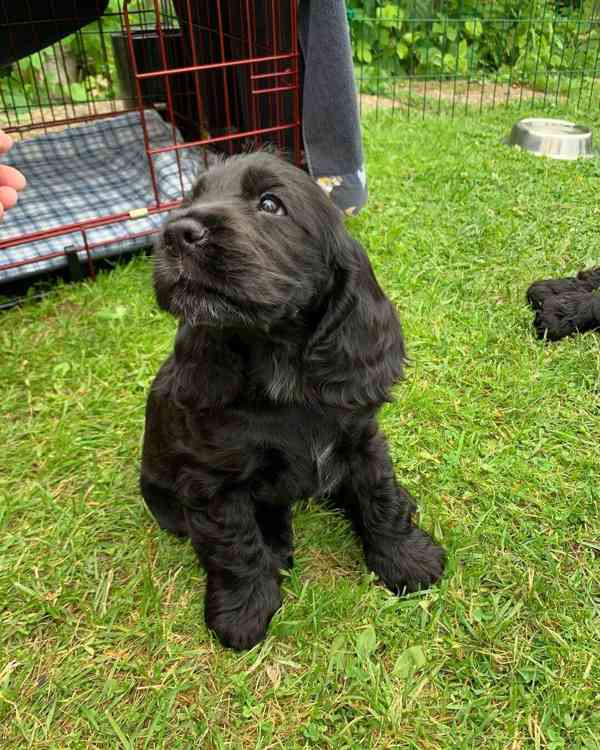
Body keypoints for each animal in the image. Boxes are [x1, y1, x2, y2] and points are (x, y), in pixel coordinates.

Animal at [138, 153, 442, 652]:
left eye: (270, 204)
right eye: (192, 197)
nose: (176, 233)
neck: (282, 370)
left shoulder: (362, 440)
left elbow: (379, 497)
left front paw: (407, 559)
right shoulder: (212, 481)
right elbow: (235, 546)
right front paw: (243, 612)